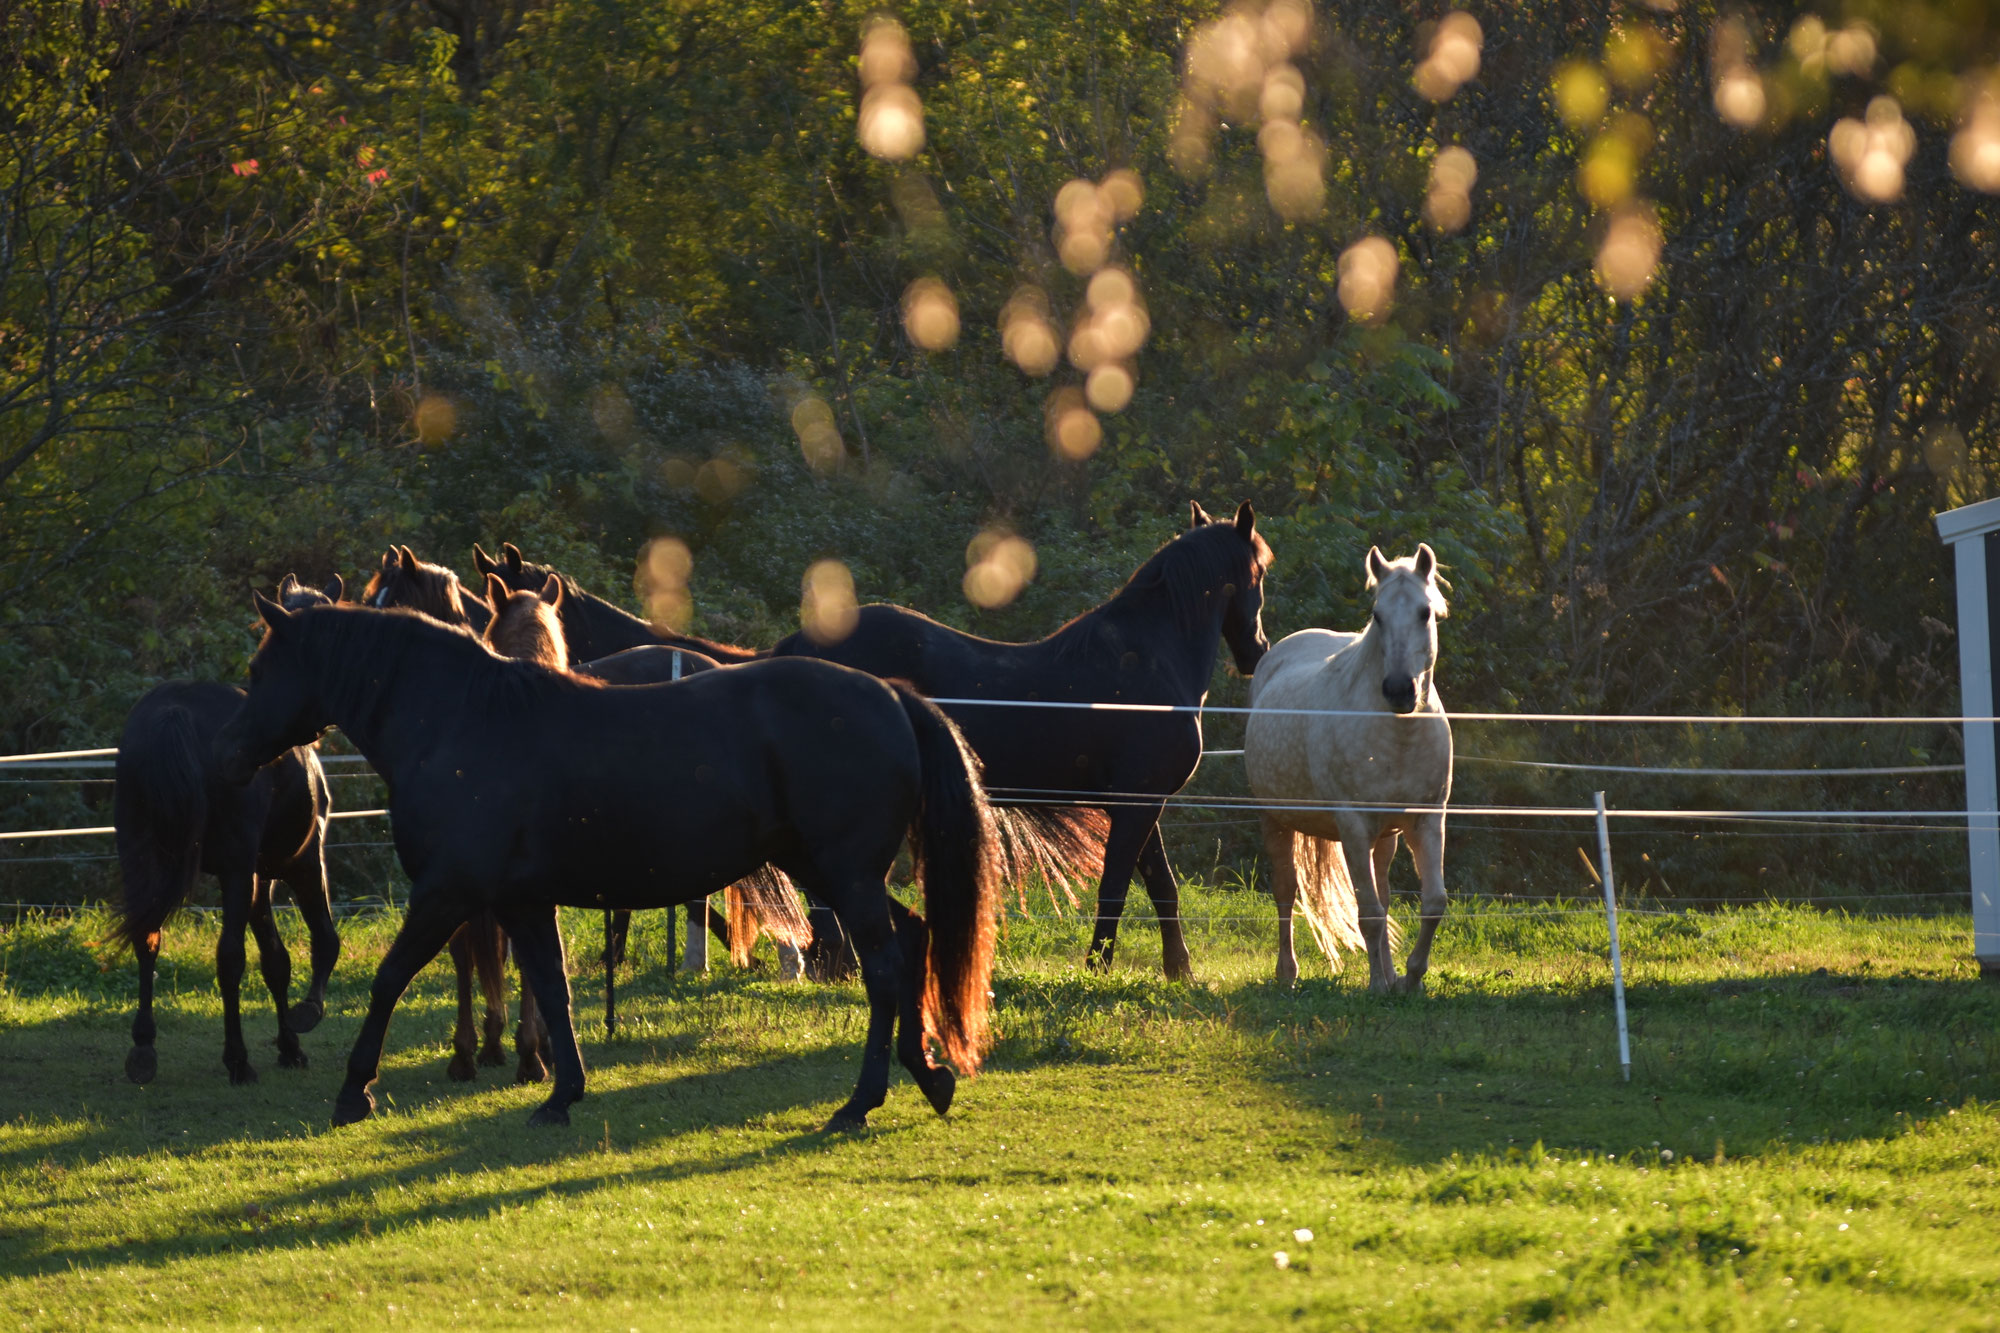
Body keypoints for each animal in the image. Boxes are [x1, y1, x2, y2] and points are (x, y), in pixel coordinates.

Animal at [112, 574, 343, 1085]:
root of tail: (172, 712)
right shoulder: (299, 864)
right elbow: (320, 941)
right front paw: (302, 1022)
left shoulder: (257, 878)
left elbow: (275, 960)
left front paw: (289, 1046)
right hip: (240, 871)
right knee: (229, 958)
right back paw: (237, 1059)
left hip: (141, 855)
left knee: (148, 938)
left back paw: (143, 1049)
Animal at [214, 596, 1001, 1130]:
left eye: (259, 667)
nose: (232, 753)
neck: (462, 724)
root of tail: (892, 695)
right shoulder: (522, 901)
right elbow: (553, 990)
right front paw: (561, 1093)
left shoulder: (447, 893)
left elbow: (389, 978)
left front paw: (355, 1089)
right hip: (835, 874)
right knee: (915, 940)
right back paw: (928, 1076)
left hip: (845, 877)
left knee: (887, 967)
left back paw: (862, 1101)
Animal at [771, 501, 1271, 980]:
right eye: (1261, 571)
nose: (1259, 651)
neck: (1149, 661)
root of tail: (802, 645)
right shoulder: (1137, 804)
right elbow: (1117, 888)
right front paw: (1098, 966)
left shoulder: (1139, 803)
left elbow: (1161, 887)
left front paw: (1179, 971)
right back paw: (838, 963)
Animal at [1242, 545, 1452, 992]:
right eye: (1378, 615)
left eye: (1425, 612)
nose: (1399, 690)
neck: (1398, 737)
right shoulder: (1353, 825)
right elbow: (1368, 912)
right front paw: (1378, 986)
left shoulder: (1427, 820)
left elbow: (1431, 902)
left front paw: (1409, 979)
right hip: (1275, 819)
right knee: (1286, 891)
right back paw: (1287, 973)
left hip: (1385, 837)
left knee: (1384, 896)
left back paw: (1389, 974)